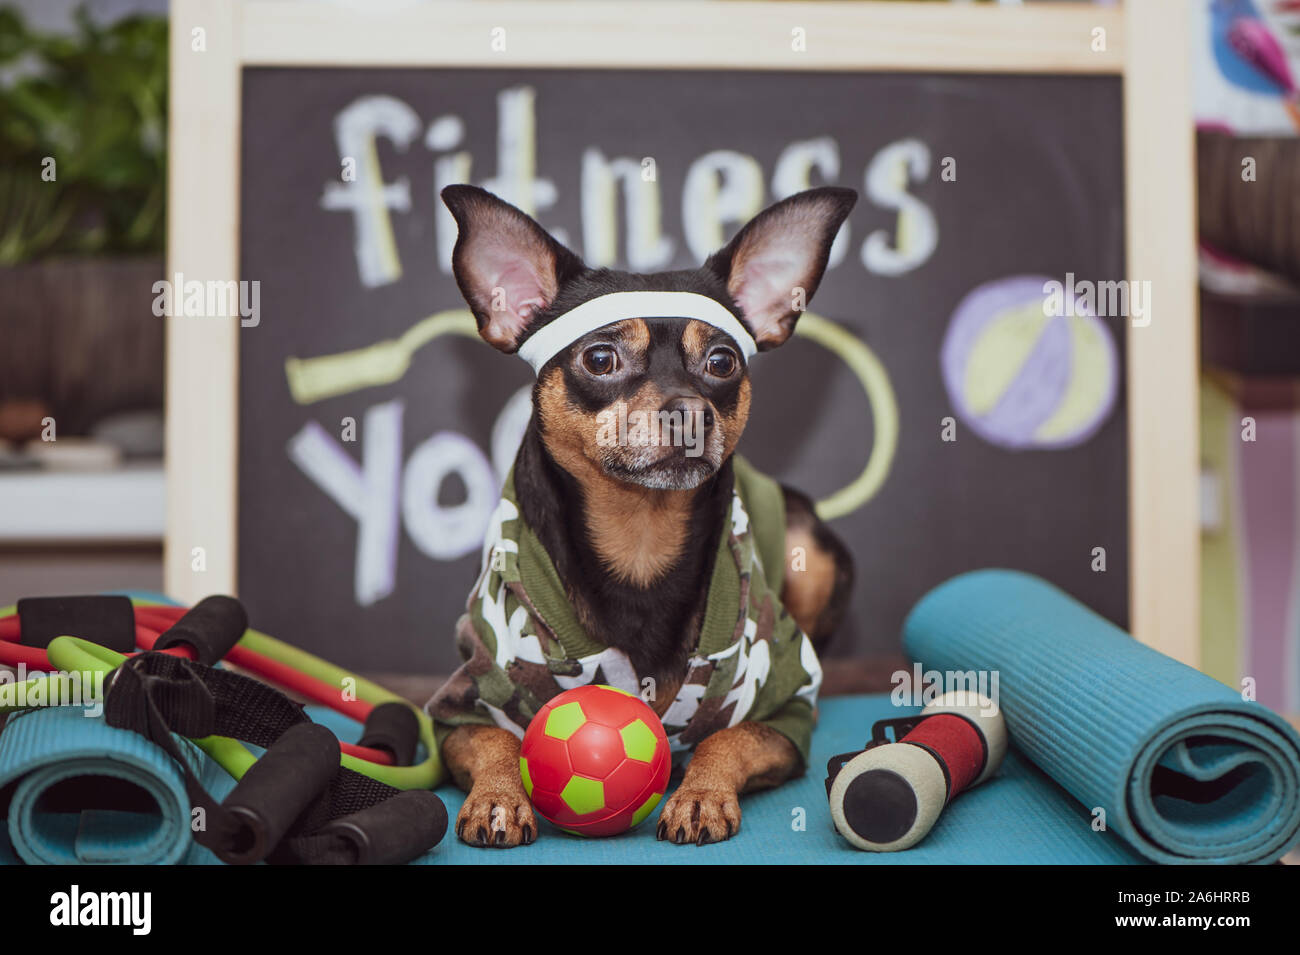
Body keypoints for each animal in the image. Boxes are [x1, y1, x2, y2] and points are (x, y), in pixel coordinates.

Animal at [421, 183, 857, 847]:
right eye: (600, 359)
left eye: (723, 362)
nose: (688, 411)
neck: (641, 541)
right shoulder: (460, 705)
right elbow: (495, 738)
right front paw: (498, 796)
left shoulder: (788, 709)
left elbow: (730, 736)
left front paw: (700, 794)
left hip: (815, 553)